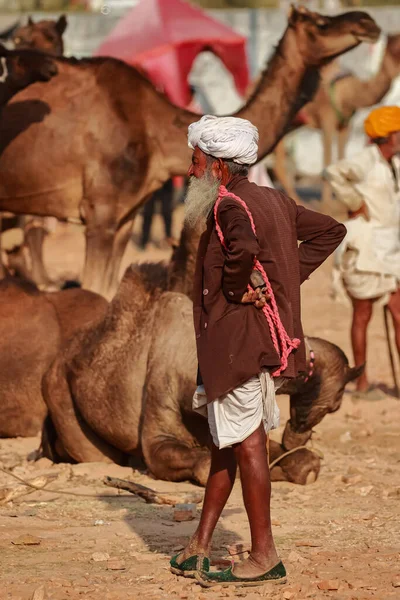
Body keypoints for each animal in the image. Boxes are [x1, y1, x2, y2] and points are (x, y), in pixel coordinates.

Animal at [0, 8, 380, 298]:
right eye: (317, 22)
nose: (366, 22)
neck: (151, 128)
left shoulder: (124, 219)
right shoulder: (100, 216)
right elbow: (93, 293)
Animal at [40, 223, 362, 486]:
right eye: (336, 405)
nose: (299, 434)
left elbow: (303, 461)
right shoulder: (159, 422)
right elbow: (200, 463)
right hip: (61, 399)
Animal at [274, 32, 400, 206]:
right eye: (397, 49)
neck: (349, 93)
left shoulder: (345, 124)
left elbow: (341, 157)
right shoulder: (327, 119)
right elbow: (327, 161)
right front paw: (327, 203)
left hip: (293, 124)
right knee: (279, 163)